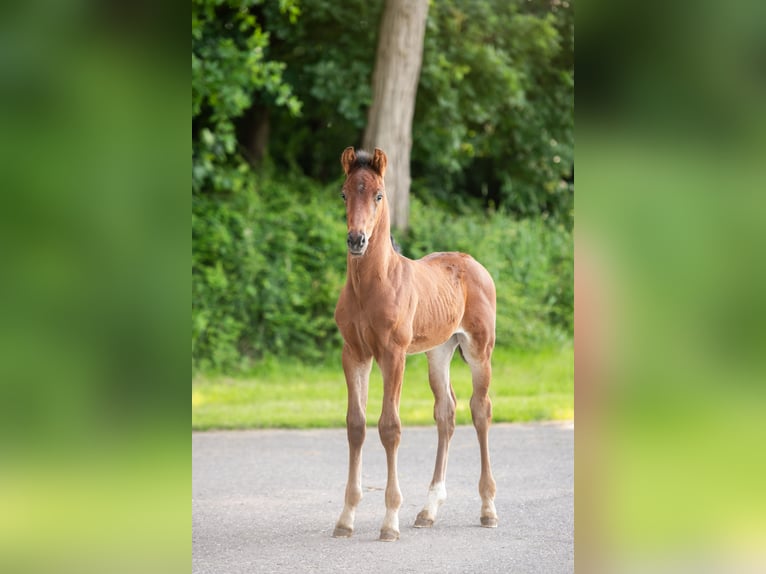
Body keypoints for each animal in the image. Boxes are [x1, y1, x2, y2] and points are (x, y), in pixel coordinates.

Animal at [332, 146, 500, 544]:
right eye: (344, 194)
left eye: (378, 195)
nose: (356, 240)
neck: (371, 286)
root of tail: (474, 263)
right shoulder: (354, 354)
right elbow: (356, 425)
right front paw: (345, 518)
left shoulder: (393, 355)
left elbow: (390, 427)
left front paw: (389, 521)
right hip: (439, 351)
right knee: (447, 412)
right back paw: (428, 510)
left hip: (479, 350)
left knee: (480, 409)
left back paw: (488, 508)